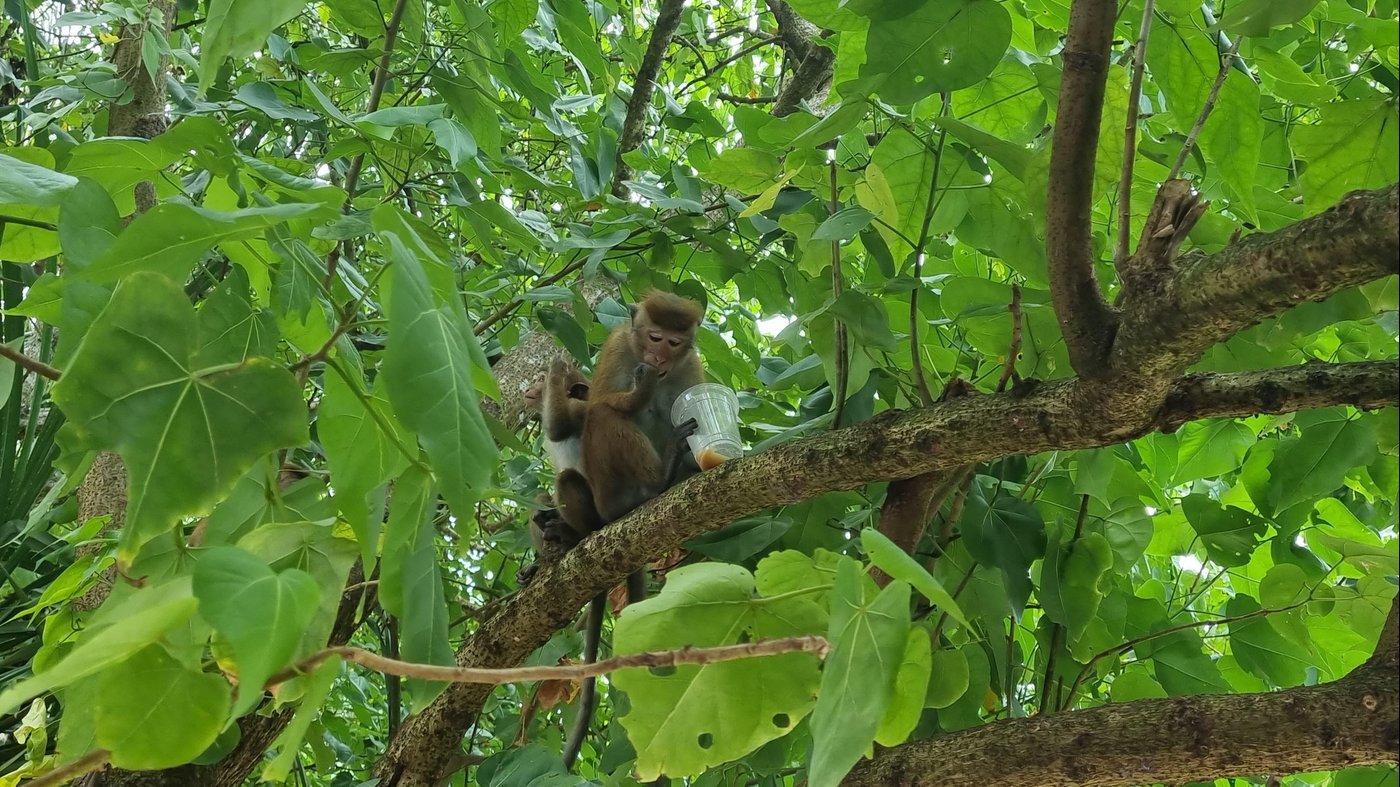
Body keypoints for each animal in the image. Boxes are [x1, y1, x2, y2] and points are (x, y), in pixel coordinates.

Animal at [557, 288, 705, 767]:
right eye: (653, 337)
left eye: (674, 343)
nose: (658, 357)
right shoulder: (619, 347)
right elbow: (602, 401)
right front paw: (642, 387)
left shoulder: (689, 367)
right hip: (606, 490)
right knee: (604, 417)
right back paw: (656, 483)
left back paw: (679, 472)